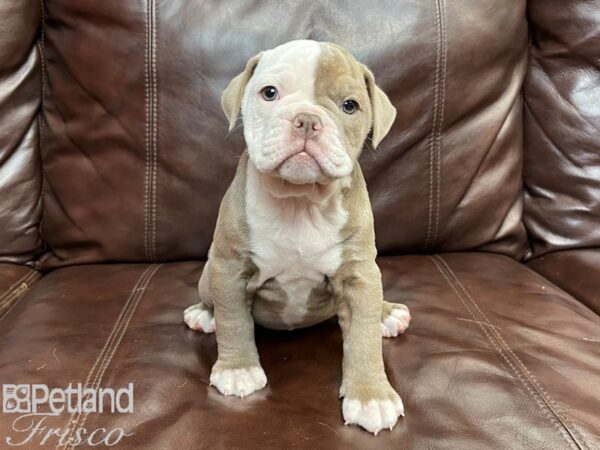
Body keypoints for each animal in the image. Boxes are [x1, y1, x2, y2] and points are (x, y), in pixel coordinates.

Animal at [185, 40, 410, 434]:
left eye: (349, 105)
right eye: (269, 93)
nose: (306, 119)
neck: (299, 201)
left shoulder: (360, 276)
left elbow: (363, 337)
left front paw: (371, 396)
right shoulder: (230, 268)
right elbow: (234, 321)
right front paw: (237, 369)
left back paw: (388, 313)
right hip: (208, 275)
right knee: (214, 303)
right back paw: (203, 313)